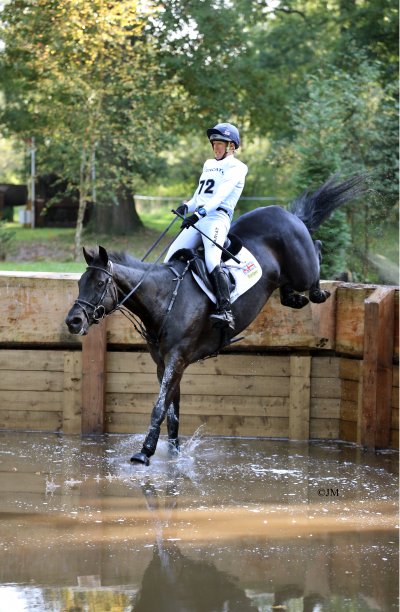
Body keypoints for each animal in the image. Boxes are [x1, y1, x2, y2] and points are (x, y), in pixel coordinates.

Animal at [66, 176, 366, 464]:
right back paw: (294, 297)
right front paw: (173, 453)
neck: (165, 298)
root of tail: (286, 213)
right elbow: (172, 411)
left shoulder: (176, 360)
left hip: (303, 267)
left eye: (101, 283)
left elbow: (159, 407)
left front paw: (144, 452)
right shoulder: (165, 364)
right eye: (80, 283)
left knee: (317, 252)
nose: (74, 321)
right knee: (291, 283)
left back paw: (317, 290)